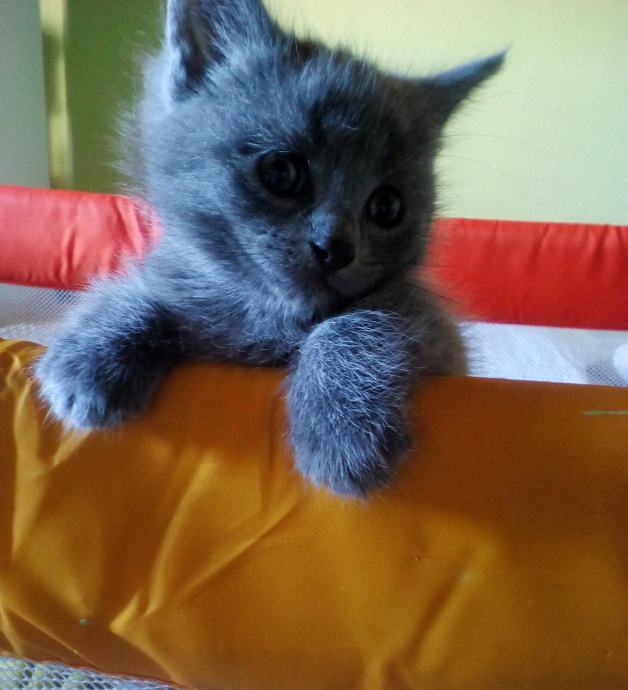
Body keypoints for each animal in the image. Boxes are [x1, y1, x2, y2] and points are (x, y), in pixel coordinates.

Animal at [34, 0, 503, 497]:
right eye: (281, 173)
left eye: (387, 207)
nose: (335, 247)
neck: (271, 316)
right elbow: (147, 290)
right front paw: (89, 355)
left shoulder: (440, 338)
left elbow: (367, 318)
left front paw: (341, 433)